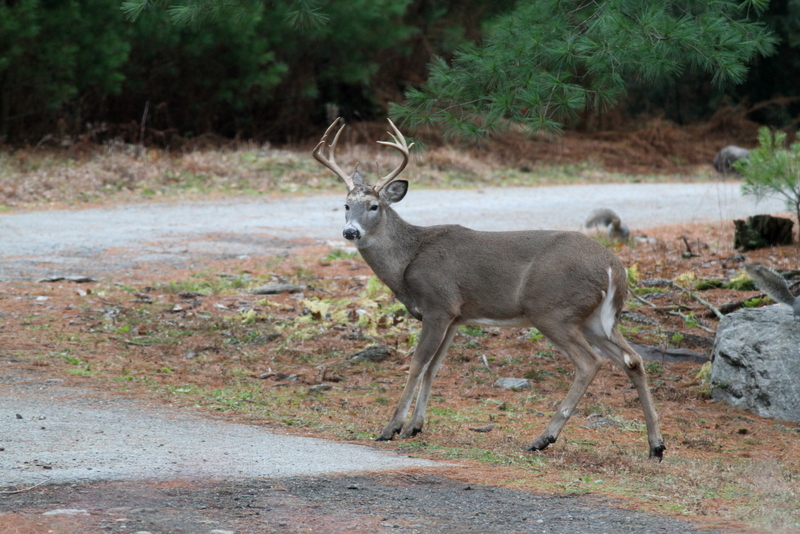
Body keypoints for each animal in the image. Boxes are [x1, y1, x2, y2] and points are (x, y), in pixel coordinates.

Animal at [310, 117, 664, 460]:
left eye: (374, 206)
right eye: (345, 205)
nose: (350, 232)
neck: (407, 261)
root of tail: (615, 268)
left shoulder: (438, 305)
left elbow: (417, 364)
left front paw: (392, 427)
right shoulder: (456, 316)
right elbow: (434, 368)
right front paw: (414, 427)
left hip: (552, 309)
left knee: (589, 362)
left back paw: (543, 438)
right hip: (596, 319)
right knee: (633, 359)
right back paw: (655, 446)